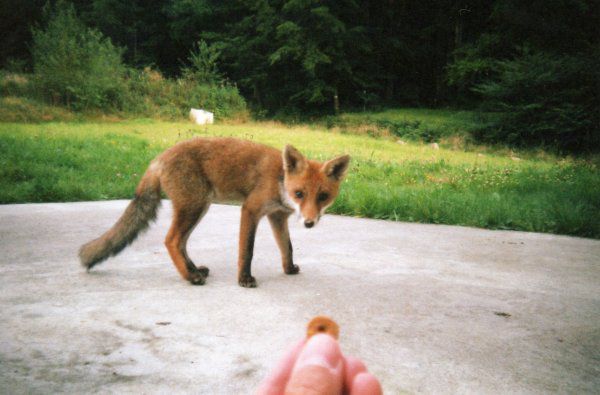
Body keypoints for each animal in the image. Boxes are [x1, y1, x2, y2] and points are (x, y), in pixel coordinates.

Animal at [79, 138, 352, 288]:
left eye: (323, 197)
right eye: (299, 194)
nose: (309, 223)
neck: (280, 180)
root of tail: (159, 157)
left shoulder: (276, 216)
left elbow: (287, 246)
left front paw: (289, 268)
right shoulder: (250, 210)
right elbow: (247, 251)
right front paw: (244, 279)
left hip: (199, 208)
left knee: (181, 243)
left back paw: (194, 270)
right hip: (194, 207)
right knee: (171, 240)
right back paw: (190, 277)